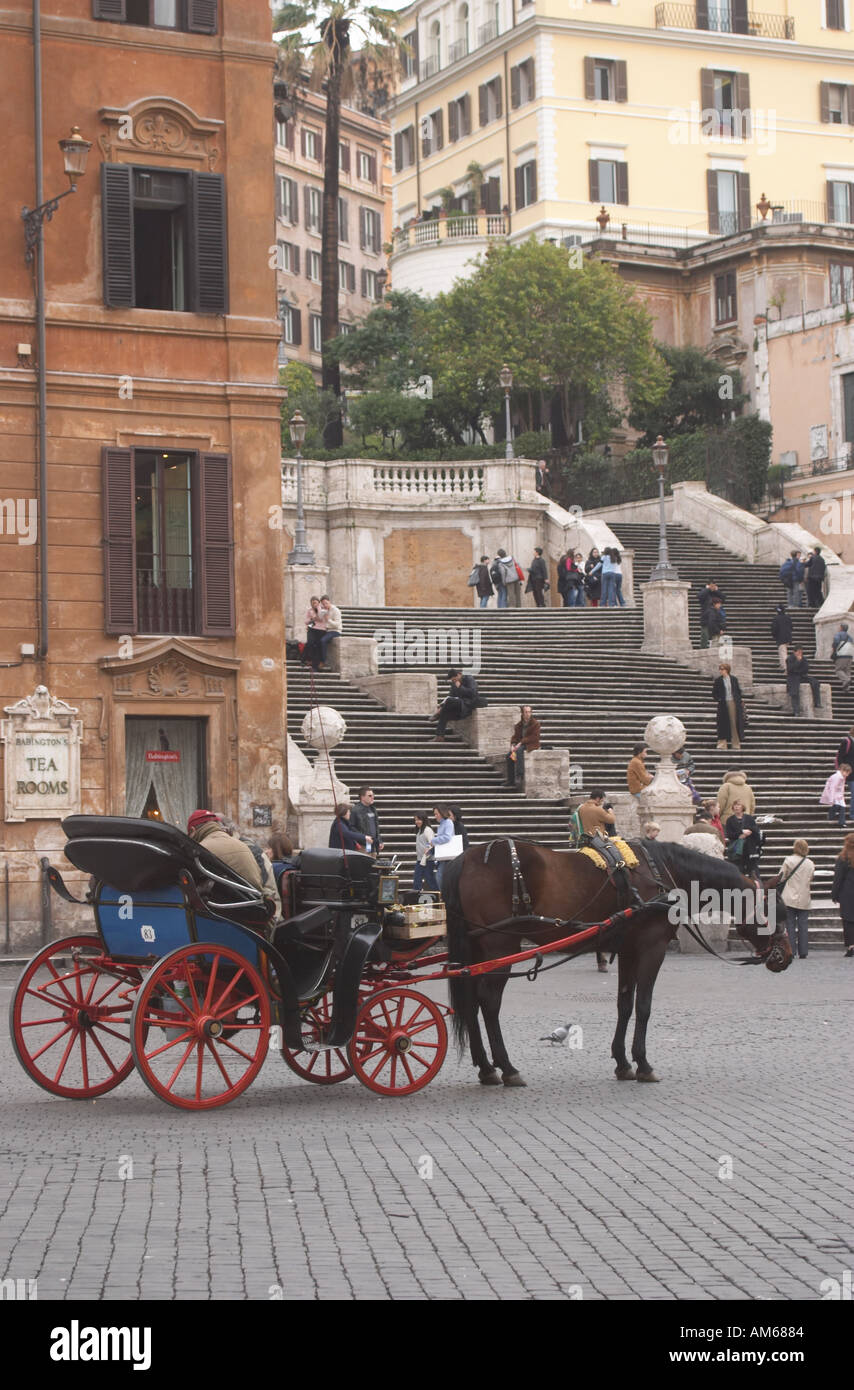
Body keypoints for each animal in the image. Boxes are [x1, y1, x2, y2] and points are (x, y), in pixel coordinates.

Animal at [442, 834, 795, 1084]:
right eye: (778, 911)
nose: (787, 956)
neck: (662, 874)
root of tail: (464, 858)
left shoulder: (628, 949)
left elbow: (624, 1004)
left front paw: (623, 1062)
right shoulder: (652, 947)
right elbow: (644, 1006)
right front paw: (643, 1063)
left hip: (477, 948)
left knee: (470, 1002)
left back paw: (486, 1068)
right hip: (501, 945)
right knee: (489, 1002)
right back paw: (507, 1067)